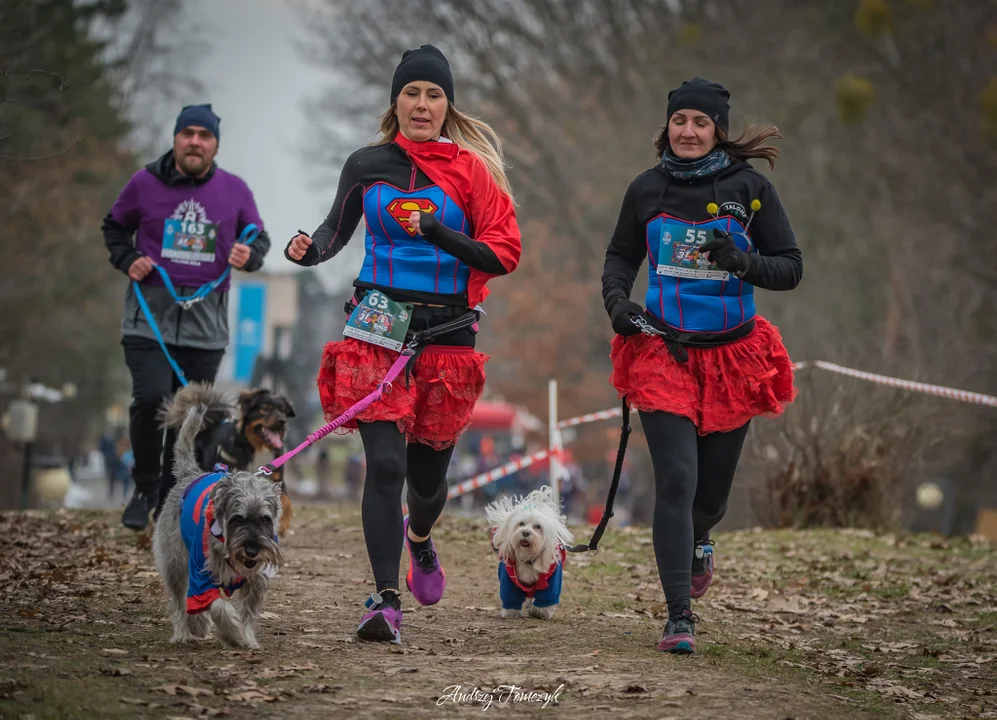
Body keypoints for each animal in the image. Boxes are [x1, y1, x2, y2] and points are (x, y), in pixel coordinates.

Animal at [153, 402, 284, 648]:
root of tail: (190, 474)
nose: (252, 550)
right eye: (237, 519)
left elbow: (248, 614)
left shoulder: (255, 581)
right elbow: (217, 606)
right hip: (175, 562)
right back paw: (184, 631)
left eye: (265, 519)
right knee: (179, 601)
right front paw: (232, 632)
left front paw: (247, 638)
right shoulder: (201, 573)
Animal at [160, 382, 296, 536]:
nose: (282, 421)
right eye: (265, 409)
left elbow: (286, 500)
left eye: (283, 411)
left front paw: (283, 523)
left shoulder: (277, 479)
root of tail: (210, 425)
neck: (258, 448)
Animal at [484, 484, 572, 620]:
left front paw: (540, 612)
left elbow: (546, 596)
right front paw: (511, 612)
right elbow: (510, 596)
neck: (528, 559)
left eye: (538, 527)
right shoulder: (509, 581)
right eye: (521, 524)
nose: (525, 532)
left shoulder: (552, 581)